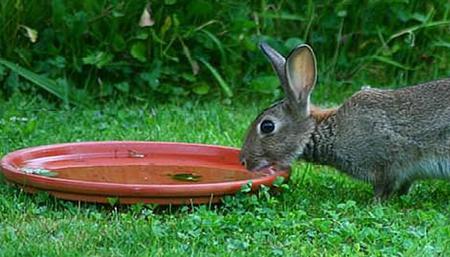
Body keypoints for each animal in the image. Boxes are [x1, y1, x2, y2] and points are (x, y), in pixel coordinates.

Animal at [241, 42, 450, 199]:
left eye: (267, 126)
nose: (243, 161)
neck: (329, 130)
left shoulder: (385, 165)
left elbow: (383, 188)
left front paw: (374, 203)